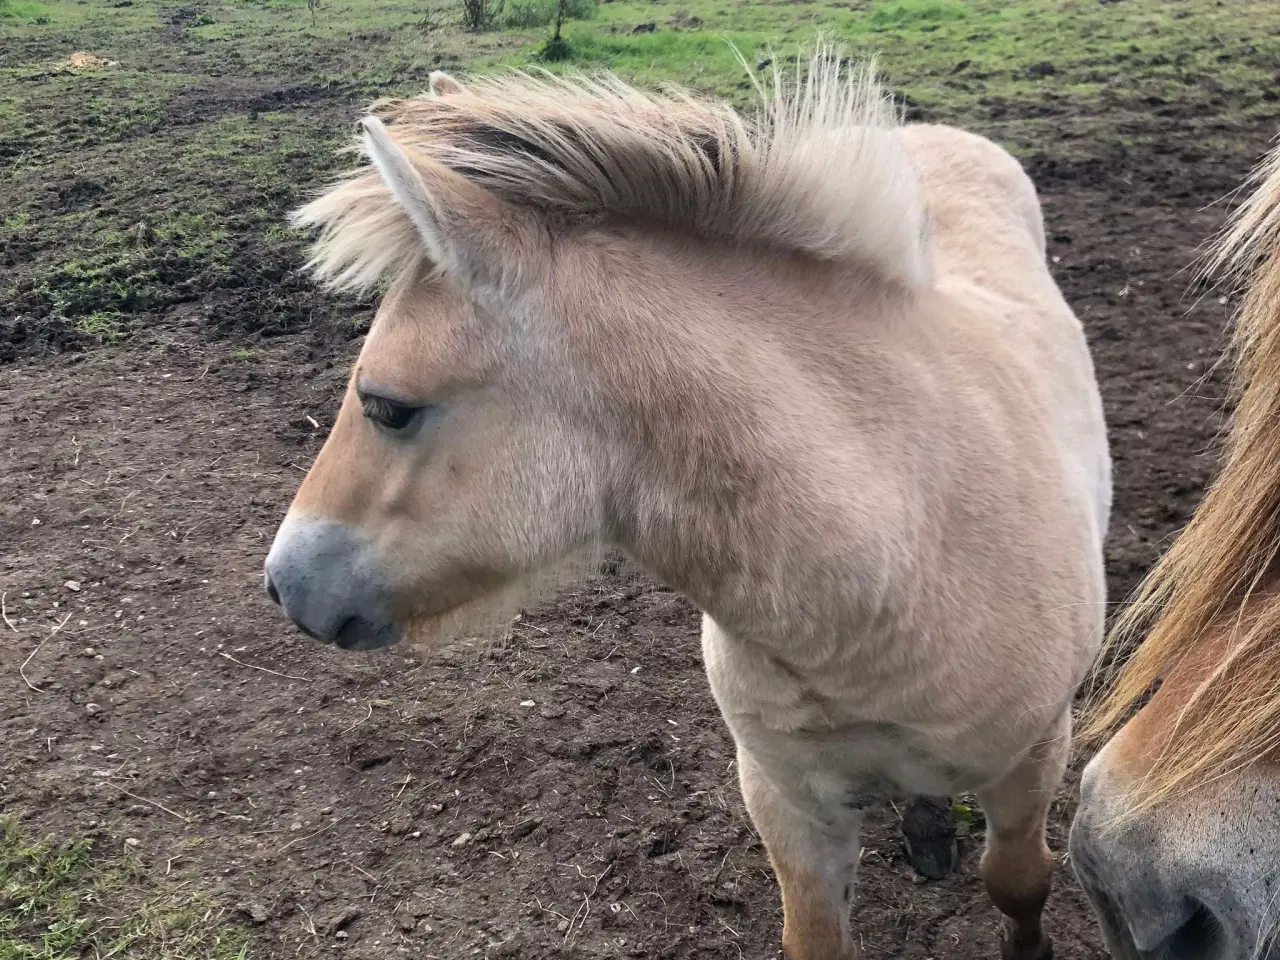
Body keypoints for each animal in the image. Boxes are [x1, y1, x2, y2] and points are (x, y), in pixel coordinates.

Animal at [267, 62, 1111, 960]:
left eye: (389, 407)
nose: (285, 582)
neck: (911, 550)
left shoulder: (1033, 759)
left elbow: (1018, 882)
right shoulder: (788, 797)